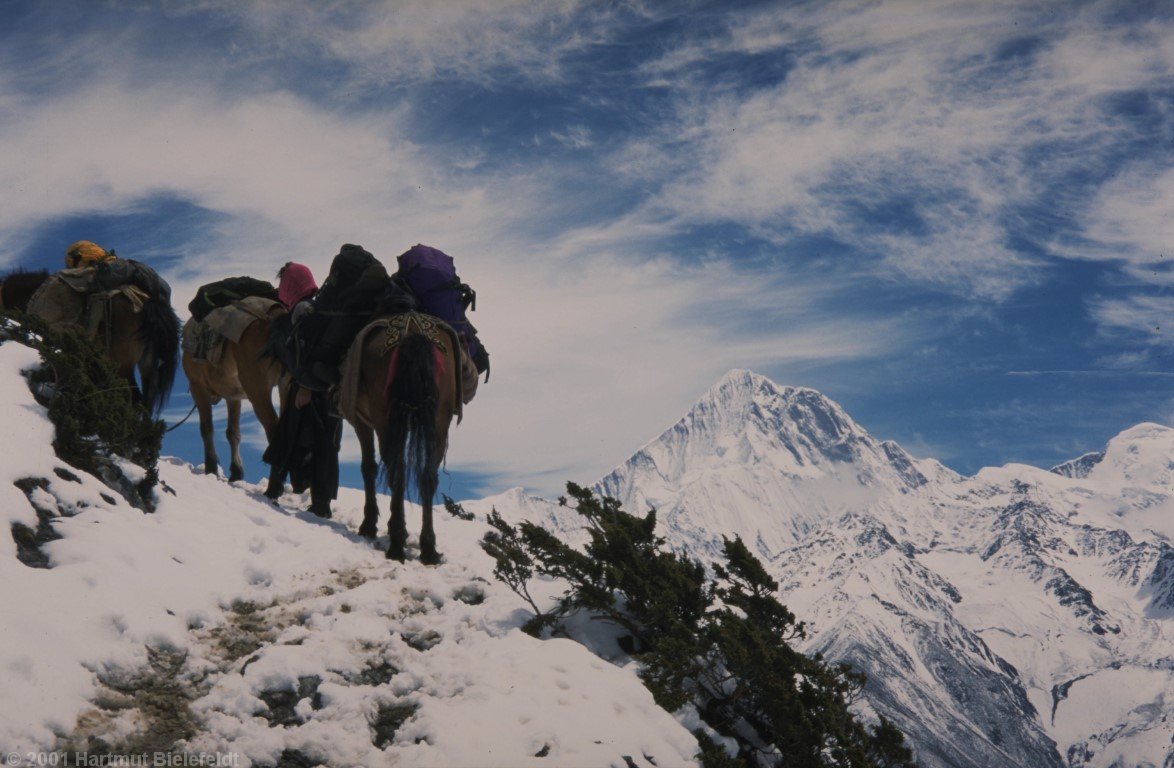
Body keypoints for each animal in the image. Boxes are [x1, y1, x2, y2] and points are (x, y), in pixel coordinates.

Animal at [186, 305, 292, 481]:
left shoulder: (197, 387)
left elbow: (206, 428)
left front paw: (211, 467)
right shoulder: (233, 396)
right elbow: (233, 433)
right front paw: (236, 472)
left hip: (257, 390)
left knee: (273, 428)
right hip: (286, 389)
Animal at [342, 312, 460, 566]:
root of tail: (412, 328)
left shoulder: (361, 421)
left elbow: (368, 467)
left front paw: (369, 525)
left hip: (386, 422)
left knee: (397, 472)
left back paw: (396, 543)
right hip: (438, 423)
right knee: (426, 477)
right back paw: (428, 548)